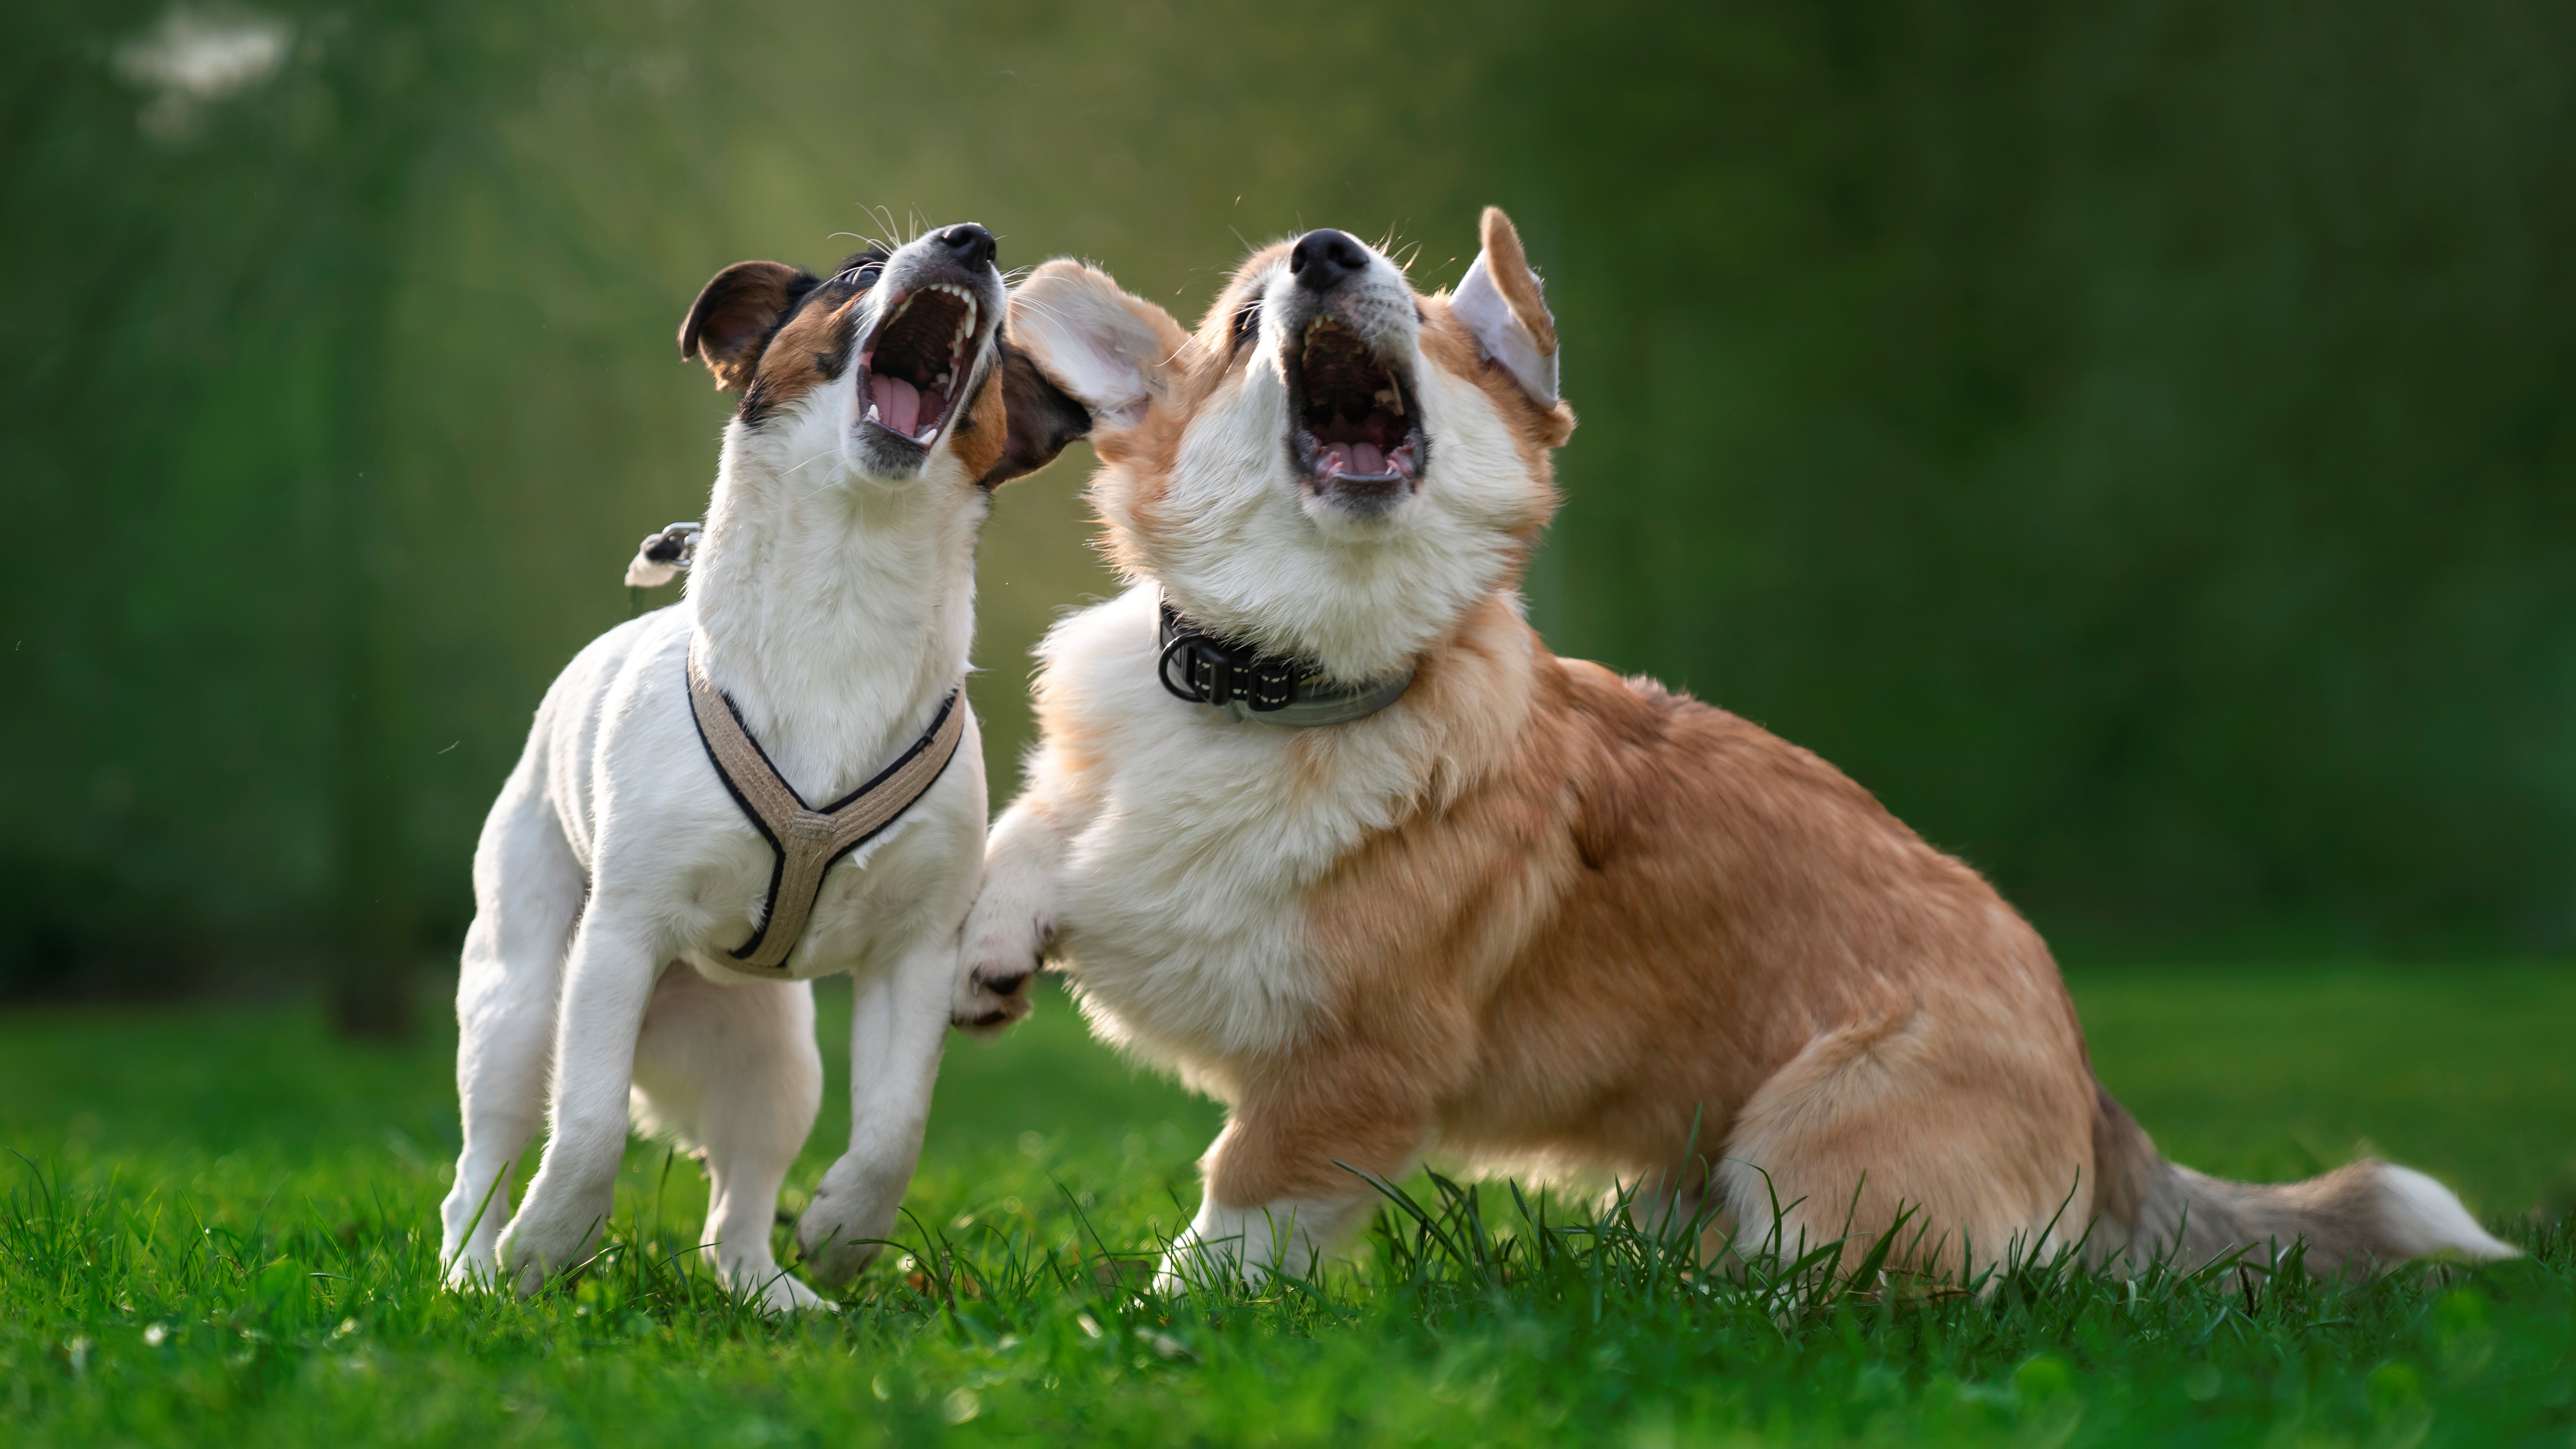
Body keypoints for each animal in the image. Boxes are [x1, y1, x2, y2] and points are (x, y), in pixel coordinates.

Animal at [443, 220, 1087, 1305]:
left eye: (1000, 346)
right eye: (858, 273)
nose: (972, 241)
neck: (843, 592)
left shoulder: (916, 954)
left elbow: (895, 1130)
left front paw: (843, 1230)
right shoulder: (617, 941)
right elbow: (589, 1125)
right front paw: (551, 1242)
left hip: (777, 1059)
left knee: (735, 1207)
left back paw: (770, 1290)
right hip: (519, 1004)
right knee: (483, 1162)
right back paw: (476, 1276)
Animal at [953, 211, 2514, 1274]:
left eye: (1438, 333)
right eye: (1238, 325)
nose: (1331, 255)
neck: (1277, 686)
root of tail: (2094, 1098)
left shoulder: (1354, 1072)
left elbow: (1238, 1221)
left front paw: (1165, 1328)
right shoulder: (1094, 799)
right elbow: (1034, 833)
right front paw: (986, 945)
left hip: (1821, 1130)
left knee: (1835, 1291)